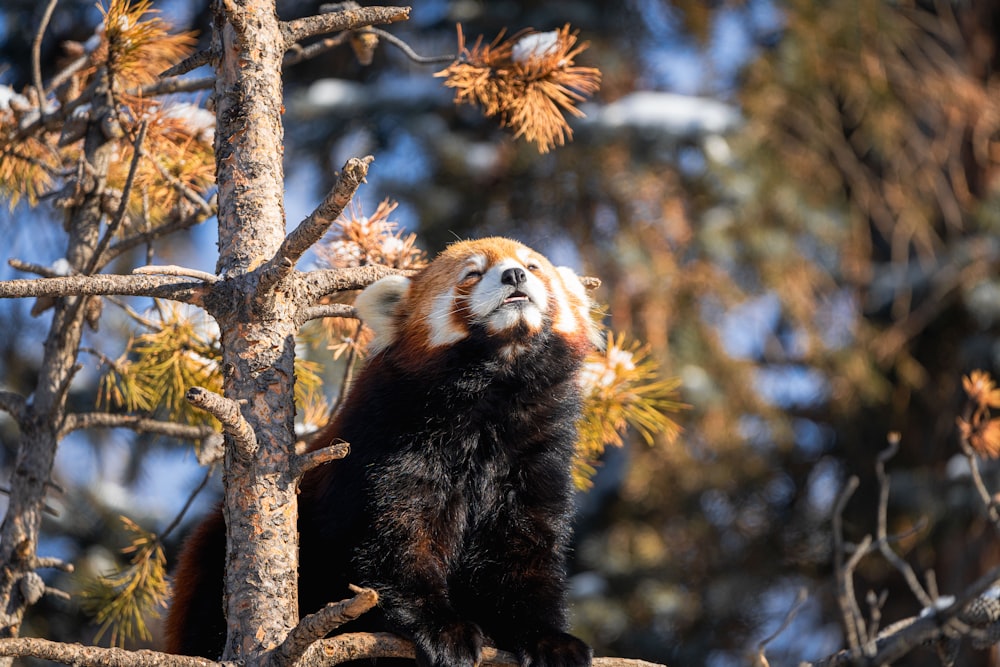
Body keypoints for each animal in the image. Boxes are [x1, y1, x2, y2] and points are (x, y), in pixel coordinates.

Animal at [167, 236, 596, 667]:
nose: (515, 275)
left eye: (533, 266)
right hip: (210, 565)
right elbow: (395, 538)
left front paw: (549, 640)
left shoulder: (533, 454)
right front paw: (441, 629)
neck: (492, 394)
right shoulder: (393, 439)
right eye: (472, 273)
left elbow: (524, 550)